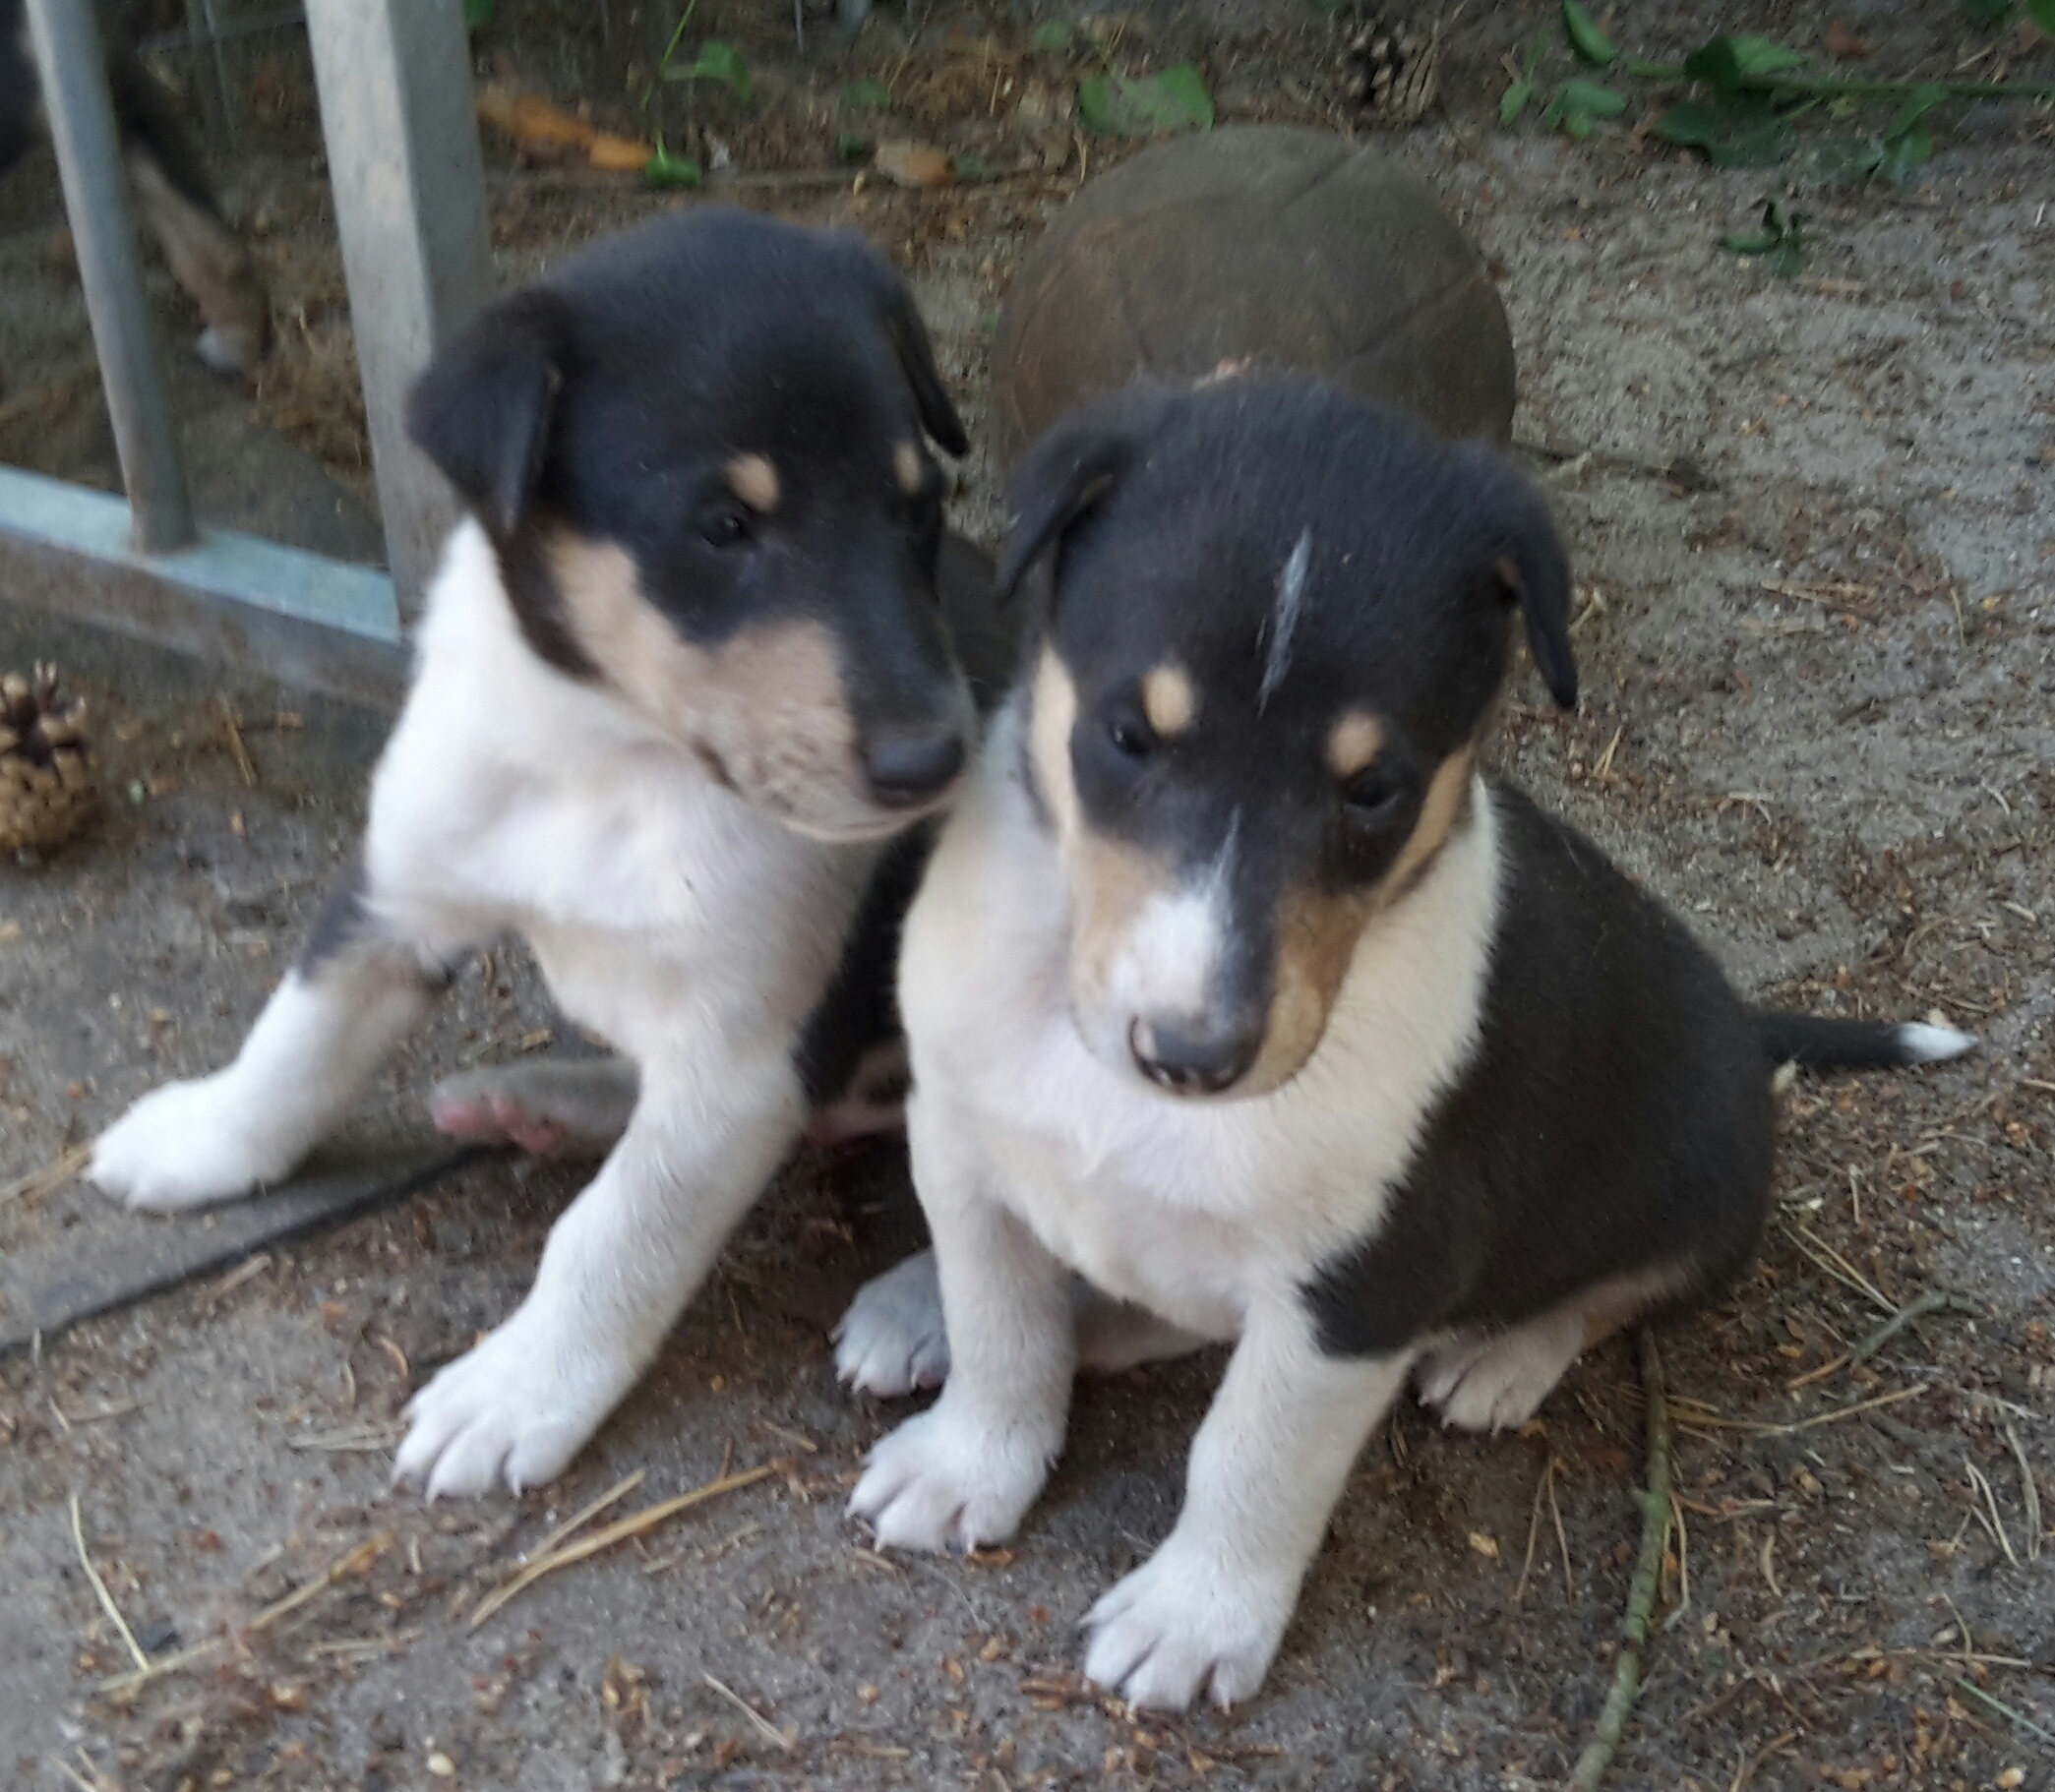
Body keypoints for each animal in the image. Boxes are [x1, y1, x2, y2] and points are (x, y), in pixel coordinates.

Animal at [96, 206, 986, 1496]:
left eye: (917, 509)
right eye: (724, 526)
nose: (935, 761)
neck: (605, 756)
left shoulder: (745, 1054)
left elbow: (612, 1234)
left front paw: (517, 1389)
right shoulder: (397, 889)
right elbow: (296, 1036)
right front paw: (204, 1142)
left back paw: (918, 1310)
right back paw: (537, 1102)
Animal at [846, 382, 1972, 1709]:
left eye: (1371, 788)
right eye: (1128, 735)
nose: (1191, 1053)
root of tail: (1746, 1030)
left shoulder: (1359, 1288)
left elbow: (1250, 1452)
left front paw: (1194, 1615)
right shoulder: (963, 1144)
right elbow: (1002, 1329)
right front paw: (966, 1463)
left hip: (1696, 1184)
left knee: (1617, 1289)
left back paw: (1503, 1358)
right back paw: (929, 1304)